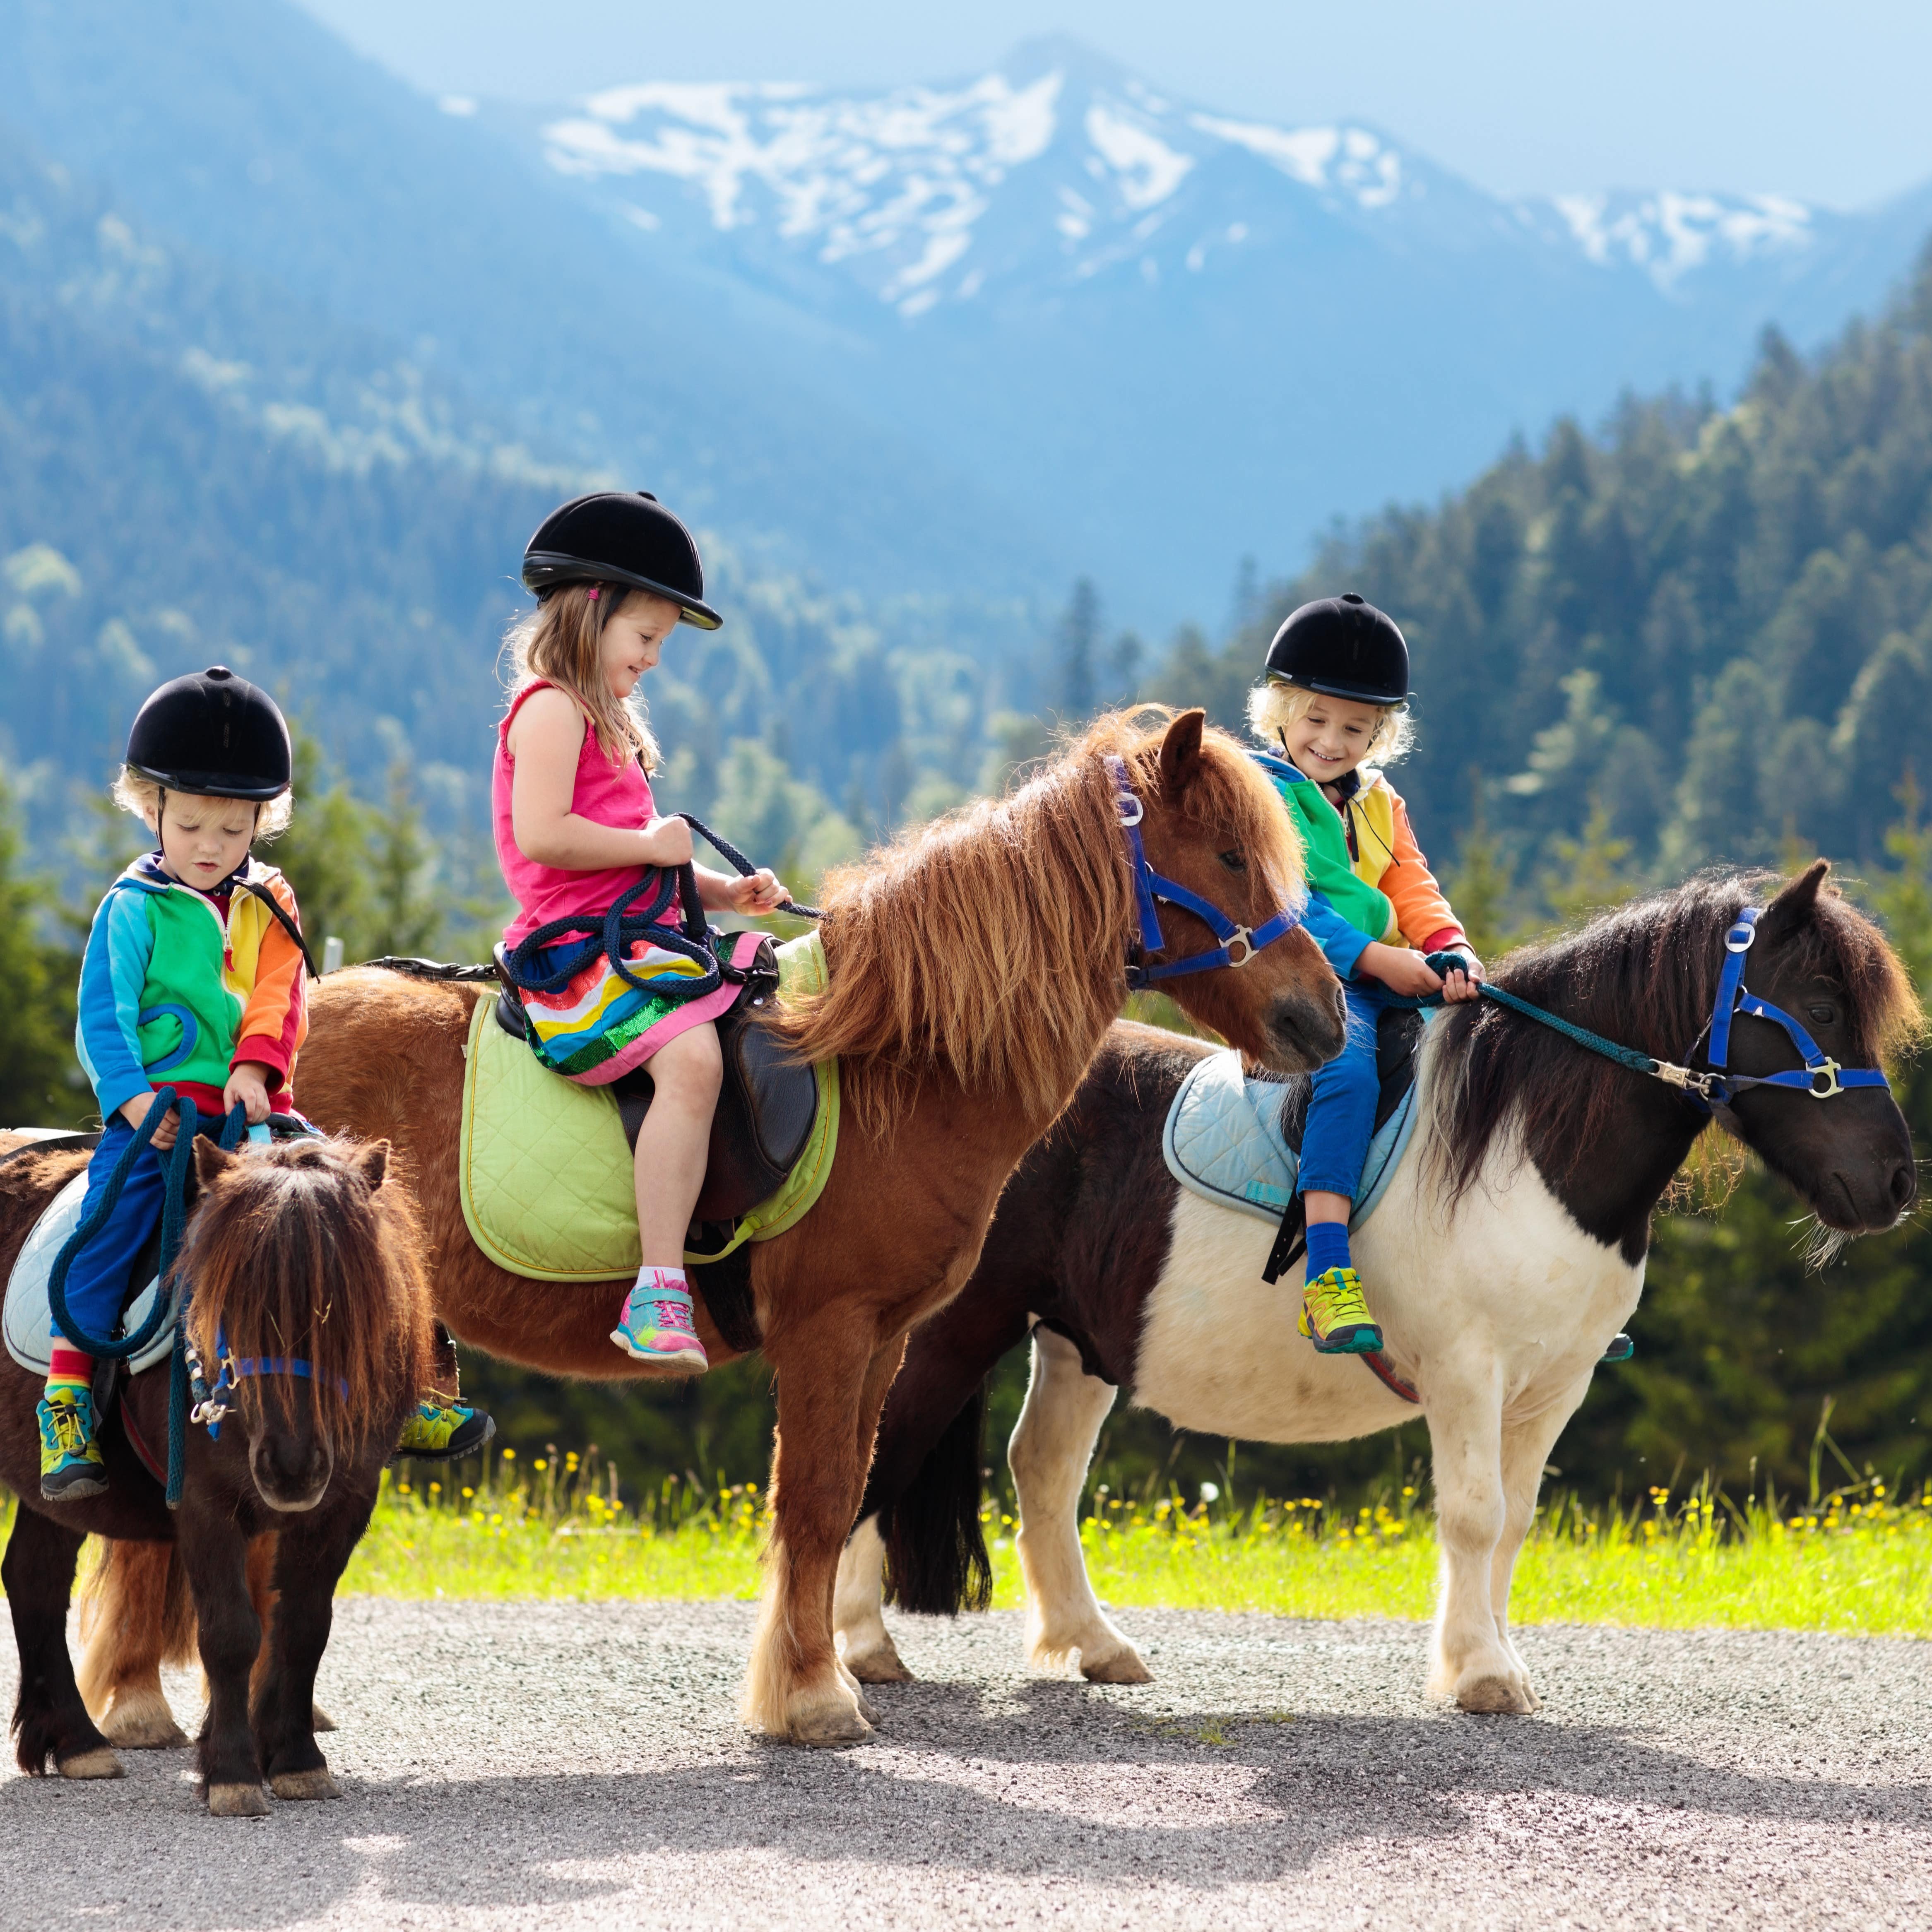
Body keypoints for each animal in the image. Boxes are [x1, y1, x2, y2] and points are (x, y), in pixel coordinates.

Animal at [1, 1128, 431, 1808]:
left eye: (349, 1305)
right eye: (229, 1305)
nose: (290, 1466)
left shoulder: (344, 1503)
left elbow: (303, 1627)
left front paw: (296, 1758)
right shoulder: (205, 1503)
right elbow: (231, 1633)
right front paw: (232, 1771)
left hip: (56, 1497)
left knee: (33, 1578)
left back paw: (75, 1741)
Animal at [75, 711, 1345, 1754]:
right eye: (1229, 856)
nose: (1321, 1018)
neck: (896, 1064)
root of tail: (230, 1084)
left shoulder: (884, 1337)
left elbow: (840, 1497)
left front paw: (819, 1677)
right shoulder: (830, 1330)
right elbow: (818, 1501)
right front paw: (813, 1697)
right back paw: (135, 1696)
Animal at [835, 869, 1916, 1715]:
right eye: (1820, 1005)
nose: (1896, 1184)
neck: (1523, 1142)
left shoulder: (1552, 1386)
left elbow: (1512, 1521)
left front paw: (1490, 1659)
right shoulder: (1466, 1371)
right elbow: (1473, 1513)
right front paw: (1480, 1675)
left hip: (1075, 1342)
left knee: (1042, 1470)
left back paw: (1091, 1644)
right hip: (948, 1332)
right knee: (877, 1450)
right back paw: (857, 1650)